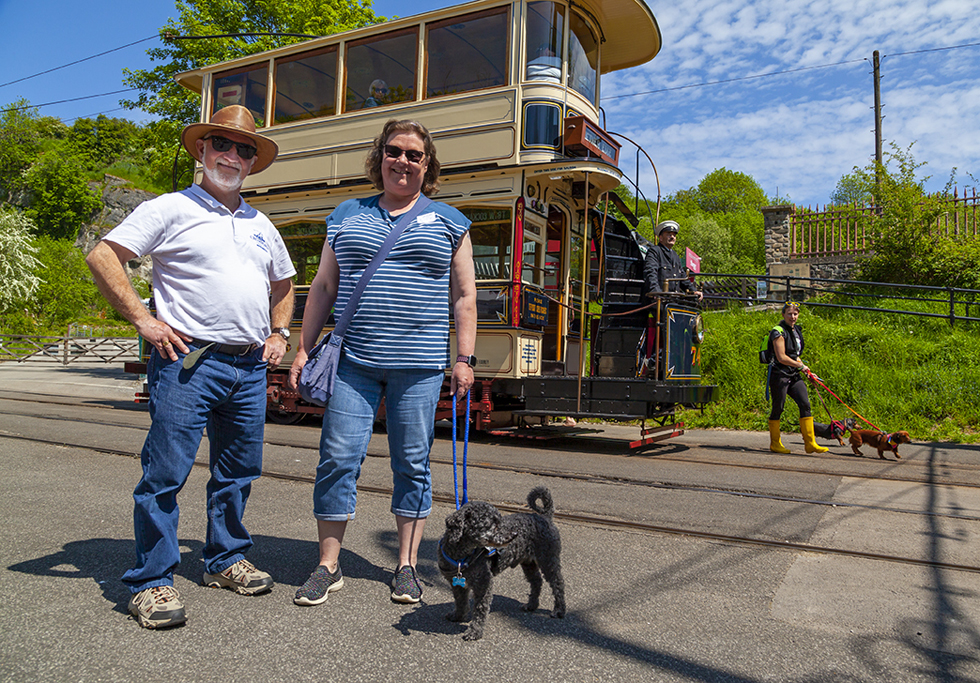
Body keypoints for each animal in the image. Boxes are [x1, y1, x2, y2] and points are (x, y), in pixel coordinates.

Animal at [438, 486, 568, 640]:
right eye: (492, 524)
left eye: (500, 521)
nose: (515, 534)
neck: (462, 556)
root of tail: (545, 517)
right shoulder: (456, 583)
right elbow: (460, 601)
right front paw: (458, 616)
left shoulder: (483, 584)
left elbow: (480, 609)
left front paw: (475, 631)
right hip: (528, 563)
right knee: (537, 581)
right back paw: (531, 605)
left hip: (548, 560)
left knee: (558, 584)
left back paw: (559, 610)